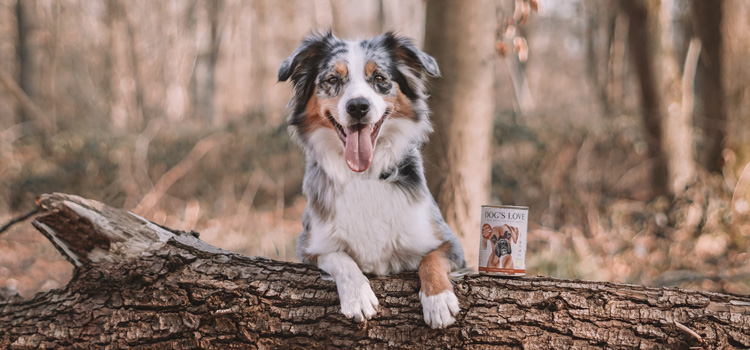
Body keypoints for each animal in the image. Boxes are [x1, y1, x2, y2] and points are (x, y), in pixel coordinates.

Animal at [280, 31, 468, 330]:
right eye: (332, 79)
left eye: (379, 78)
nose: (358, 106)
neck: (363, 175)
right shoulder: (309, 247)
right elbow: (341, 257)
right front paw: (358, 296)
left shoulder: (450, 242)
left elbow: (431, 258)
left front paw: (438, 300)